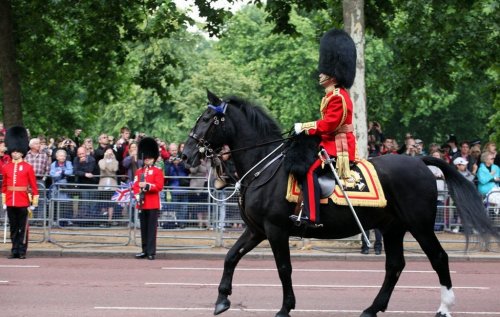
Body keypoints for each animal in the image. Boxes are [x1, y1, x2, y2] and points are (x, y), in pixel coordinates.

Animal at [182, 90, 498, 314]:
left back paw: (444, 308)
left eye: (207, 119)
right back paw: (372, 309)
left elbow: (284, 268)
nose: (186, 155)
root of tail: (420, 161)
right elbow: (231, 256)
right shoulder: (257, 229)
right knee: (395, 265)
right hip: (393, 227)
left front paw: (285, 308)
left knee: (439, 258)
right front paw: (222, 299)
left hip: (419, 225)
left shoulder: (275, 229)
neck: (264, 166)